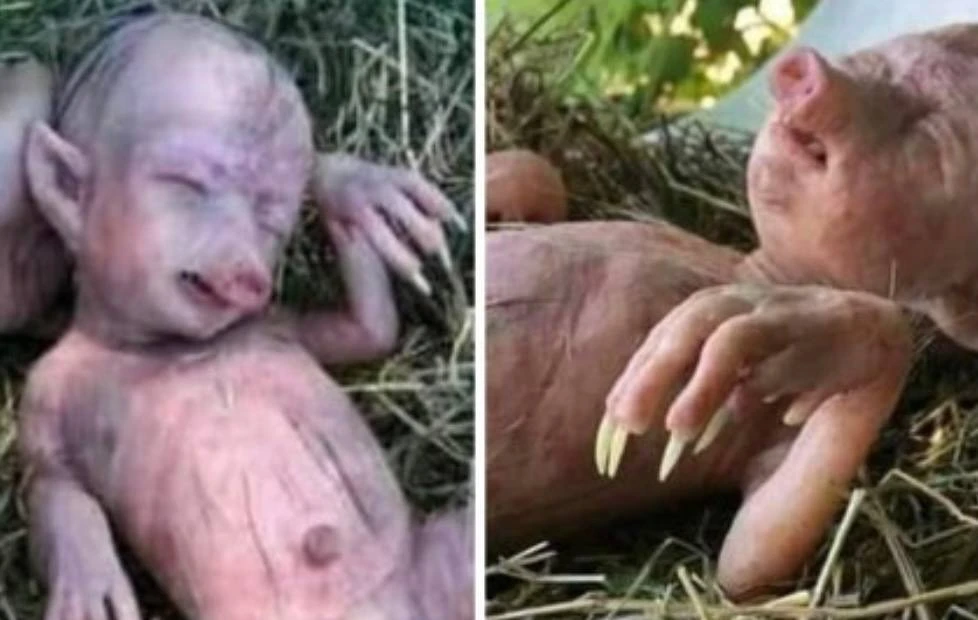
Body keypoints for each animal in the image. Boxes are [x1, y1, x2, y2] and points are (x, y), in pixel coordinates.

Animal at [13, 12, 471, 620]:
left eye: (270, 215)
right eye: (186, 184)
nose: (248, 273)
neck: (163, 343)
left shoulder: (276, 321)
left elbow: (370, 331)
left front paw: (351, 185)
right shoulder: (44, 389)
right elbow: (52, 479)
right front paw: (90, 590)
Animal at [488, 23, 978, 599]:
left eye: (930, 137)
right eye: (878, 62)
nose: (804, 71)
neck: (750, 264)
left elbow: (750, 564)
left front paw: (742, 327)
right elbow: (537, 169)